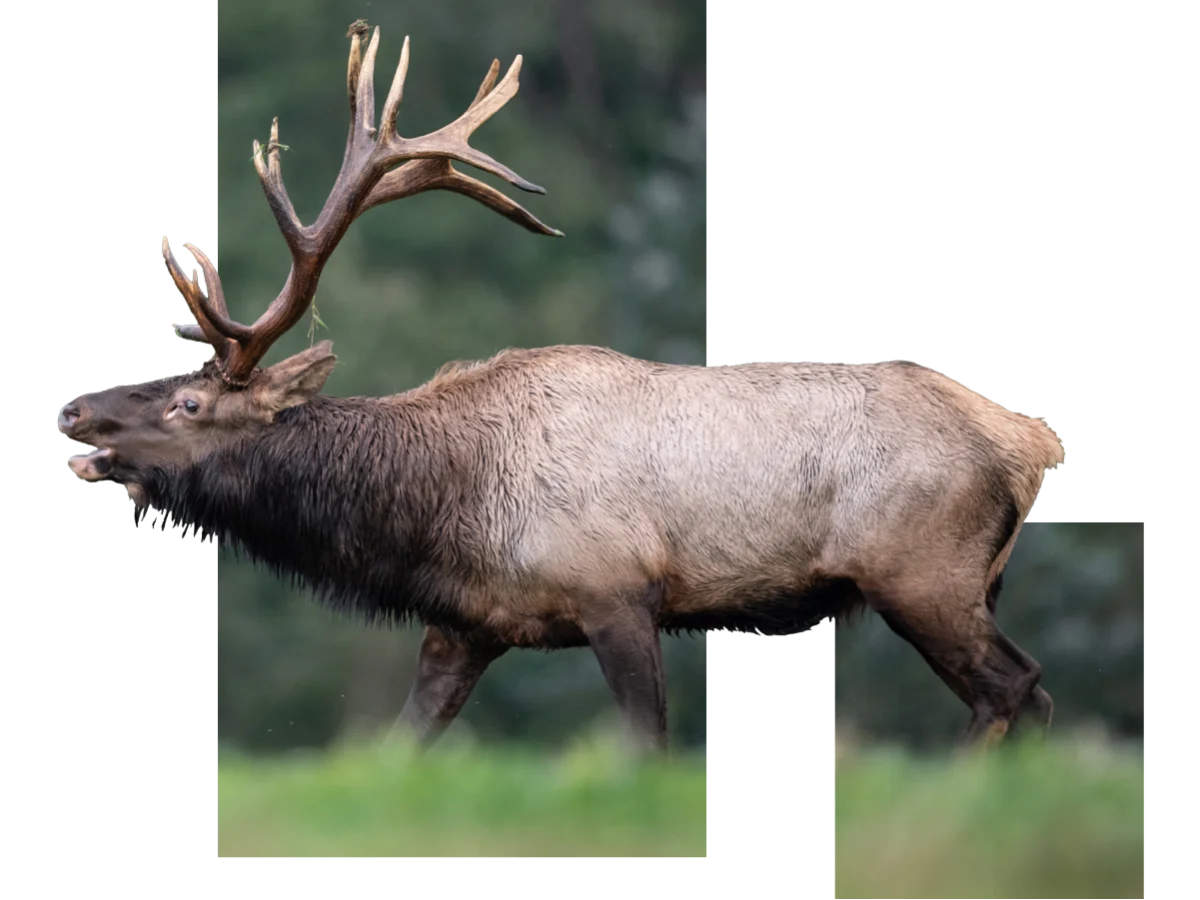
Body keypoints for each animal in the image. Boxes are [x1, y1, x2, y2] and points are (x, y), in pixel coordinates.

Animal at [58, 24, 1064, 755]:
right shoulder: (465, 625)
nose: (77, 406)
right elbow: (400, 747)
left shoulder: (618, 591)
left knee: (1014, 686)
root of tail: (1028, 441)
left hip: (922, 571)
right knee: (1033, 694)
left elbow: (646, 744)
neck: (444, 509)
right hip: (965, 581)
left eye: (189, 404)